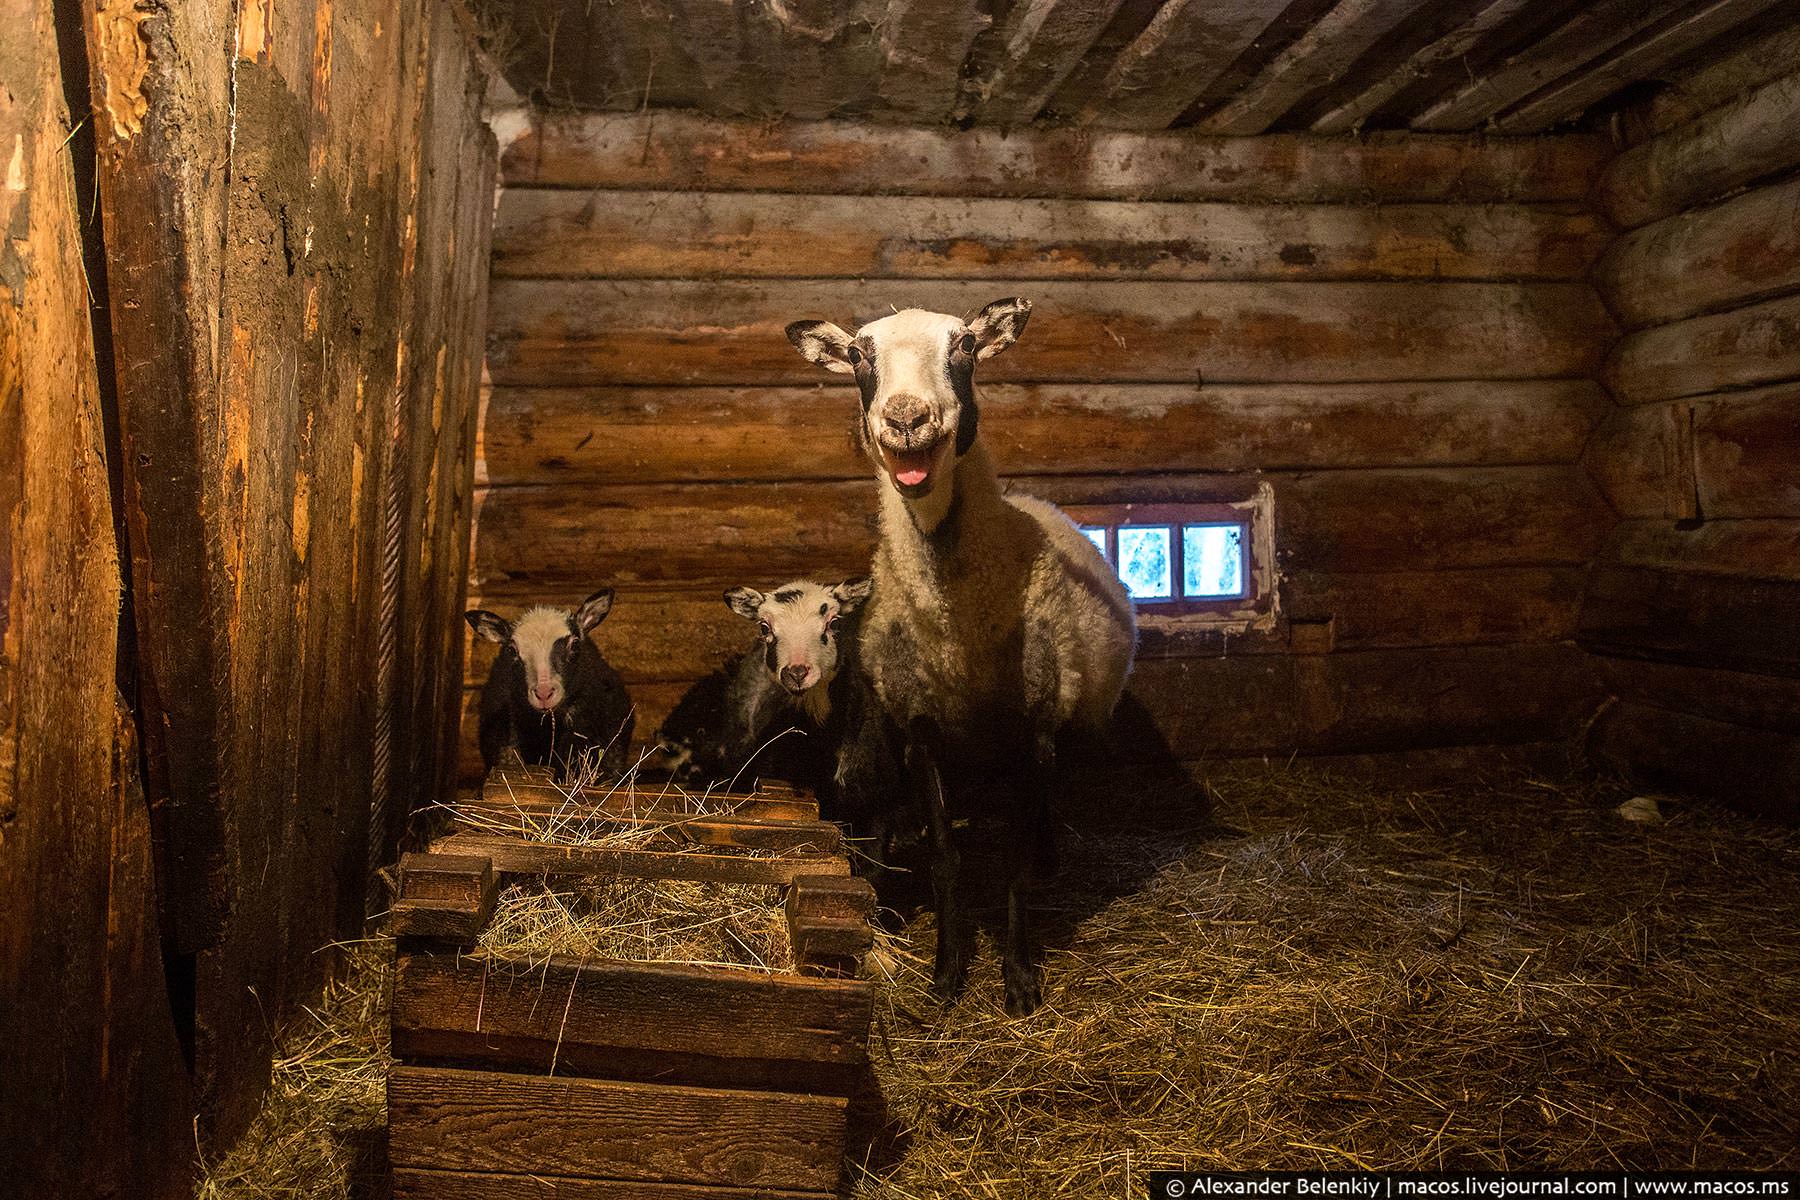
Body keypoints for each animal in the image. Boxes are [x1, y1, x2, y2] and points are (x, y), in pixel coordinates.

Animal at [781, 298, 1130, 1014]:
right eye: (857, 354)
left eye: (965, 346)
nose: (906, 417)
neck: (957, 634)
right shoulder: (919, 725)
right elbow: (945, 855)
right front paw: (946, 974)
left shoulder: (1034, 726)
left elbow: (1015, 859)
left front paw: (1019, 979)